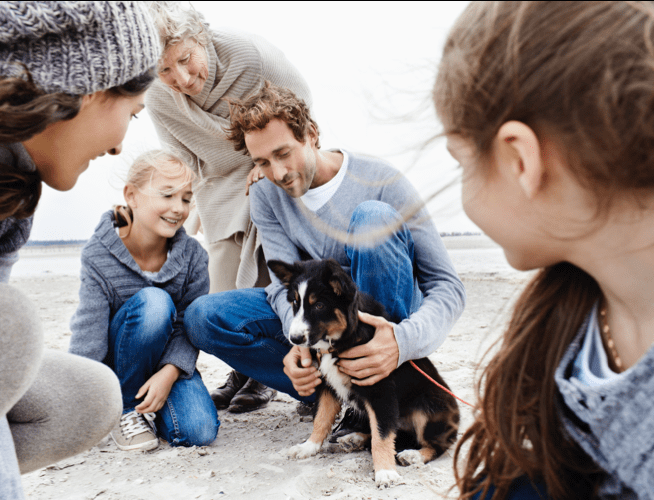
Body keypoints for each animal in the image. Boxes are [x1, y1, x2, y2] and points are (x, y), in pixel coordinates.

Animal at [268, 260, 462, 486]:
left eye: (319, 305)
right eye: (295, 303)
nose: (295, 339)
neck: (340, 340)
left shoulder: (380, 389)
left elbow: (382, 435)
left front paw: (385, 472)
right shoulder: (328, 385)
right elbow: (321, 419)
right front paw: (309, 446)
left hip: (429, 407)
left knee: (439, 444)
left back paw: (414, 455)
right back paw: (354, 439)